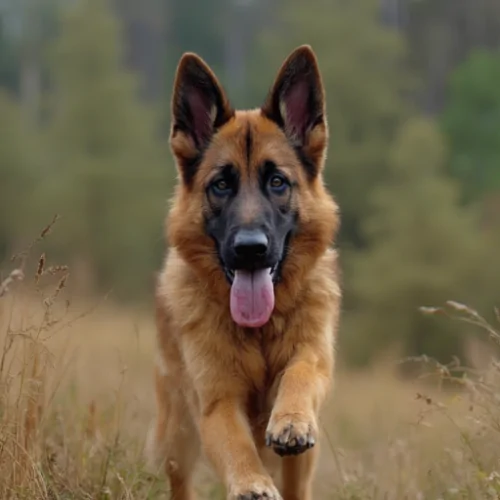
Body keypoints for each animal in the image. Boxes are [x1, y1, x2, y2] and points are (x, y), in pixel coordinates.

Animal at [148, 45, 342, 498]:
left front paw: (290, 419)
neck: (260, 333)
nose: (250, 250)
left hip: (300, 465)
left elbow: (300, 372)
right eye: (221, 185)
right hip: (178, 438)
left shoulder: (313, 357)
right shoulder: (217, 403)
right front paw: (252, 483)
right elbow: (238, 447)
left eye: (277, 182)